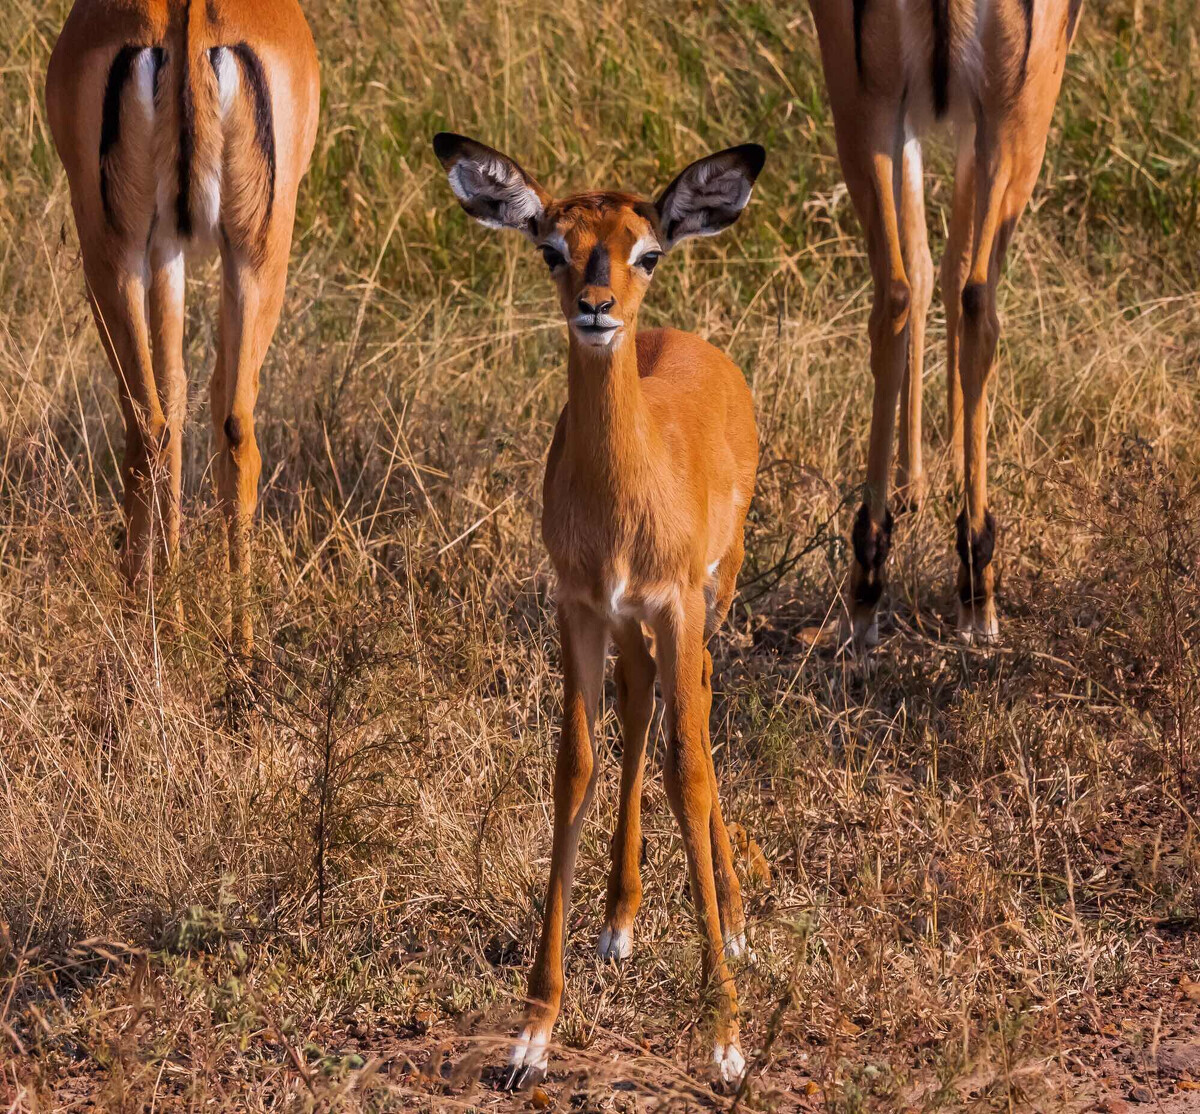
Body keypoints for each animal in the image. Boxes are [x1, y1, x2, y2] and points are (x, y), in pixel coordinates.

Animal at [45, 0, 319, 653]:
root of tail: (188, 24)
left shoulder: (160, 246)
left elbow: (172, 389)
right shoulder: (174, 248)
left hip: (120, 253)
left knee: (159, 423)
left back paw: (159, 624)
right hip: (251, 256)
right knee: (222, 423)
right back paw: (231, 644)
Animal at [436, 135, 763, 1085]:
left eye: (645, 250)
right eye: (553, 246)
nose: (596, 308)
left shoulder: (677, 602)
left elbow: (689, 771)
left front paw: (725, 1037)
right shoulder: (579, 608)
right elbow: (574, 767)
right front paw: (532, 1034)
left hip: (712, 598)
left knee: (695, 710)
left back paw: (733, 921)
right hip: (631, 625)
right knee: (640, 706)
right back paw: (620, 920)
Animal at [816, 0, 1080, 643]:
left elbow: (924, 264)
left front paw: (914, 489)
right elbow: (956, 264)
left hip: (868, 111)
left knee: (895, 290)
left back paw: (867, 582)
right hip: (1014, 122)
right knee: (977, 296)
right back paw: (977, 589)